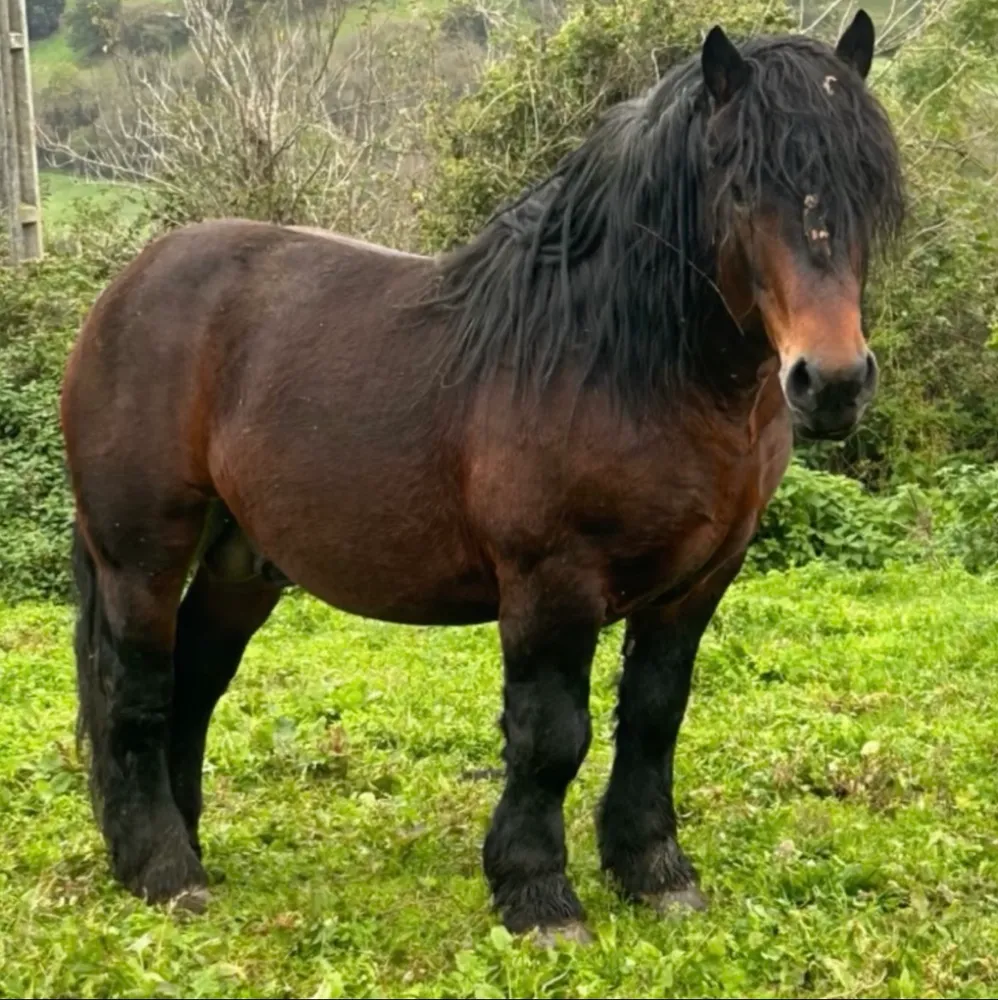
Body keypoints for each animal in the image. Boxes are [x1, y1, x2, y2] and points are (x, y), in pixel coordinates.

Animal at [60, 11, 905, 941]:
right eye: (743, 188)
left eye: (870, 189)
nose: (831, 382)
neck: (617, 359)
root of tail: (128, 289)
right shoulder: (551, 581)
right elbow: (550, 735)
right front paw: (538, 894)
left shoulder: (697, 584)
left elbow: (655, 716)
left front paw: (654, 870)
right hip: (141, 555)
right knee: (137, 689)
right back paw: (163, 870)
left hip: (242, 564)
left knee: (195, 682)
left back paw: (184, 844)